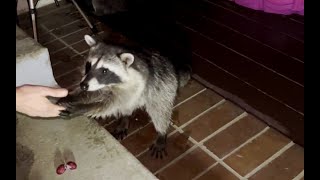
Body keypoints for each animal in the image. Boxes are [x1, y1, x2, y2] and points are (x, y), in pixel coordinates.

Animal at [57, 34, 190, 158]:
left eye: (104, 70)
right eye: (88, 65)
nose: (83, 85)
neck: (111, 84)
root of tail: (173, 69)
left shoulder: (134, 85)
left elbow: (110, 105)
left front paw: (81, 108)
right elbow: (94, 92)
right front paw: (72, 96)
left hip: (163, 85)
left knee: (159, 109)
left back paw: (161, 131)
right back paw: (125, 116)